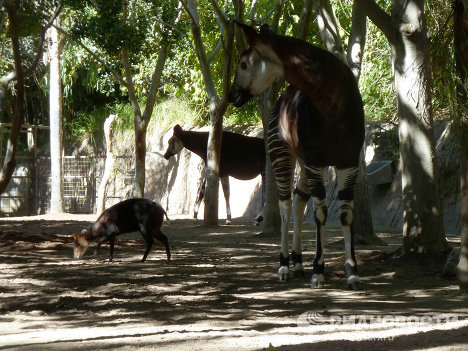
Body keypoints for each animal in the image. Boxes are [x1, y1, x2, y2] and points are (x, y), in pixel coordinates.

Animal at [228, 23, 366, 290]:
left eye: (243, 64)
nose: (231, 95)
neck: (332, 102)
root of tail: (282, 98)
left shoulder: (348, 161)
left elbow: (346, 213)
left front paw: (352, 272)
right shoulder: (316, 160)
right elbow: (321, 213)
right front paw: (318, 272)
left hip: (303, 160)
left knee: (299, 198)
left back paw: (298, 262)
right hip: (282, 153)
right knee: (285, 204)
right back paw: (283, 265)